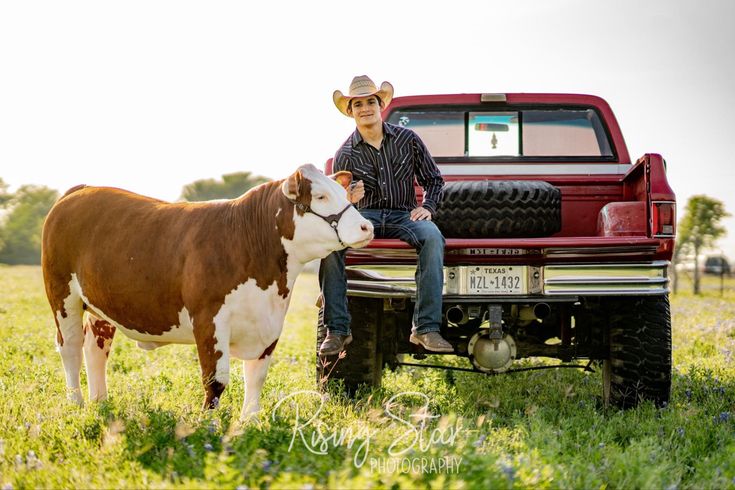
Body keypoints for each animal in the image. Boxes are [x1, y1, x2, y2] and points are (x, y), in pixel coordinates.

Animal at [41, 165, 374, 418]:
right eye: (320, 196)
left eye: (345, 193)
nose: (367, 227)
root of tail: (83, 189)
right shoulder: (208, 320)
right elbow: (215, 380)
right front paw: (208, 424)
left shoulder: (270, 323)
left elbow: (256, 376)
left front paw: (250, 422)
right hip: (62, 296)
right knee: (70, 347)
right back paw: (76, 403)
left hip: (99, 305)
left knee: (96, 348)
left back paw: (100, 402)